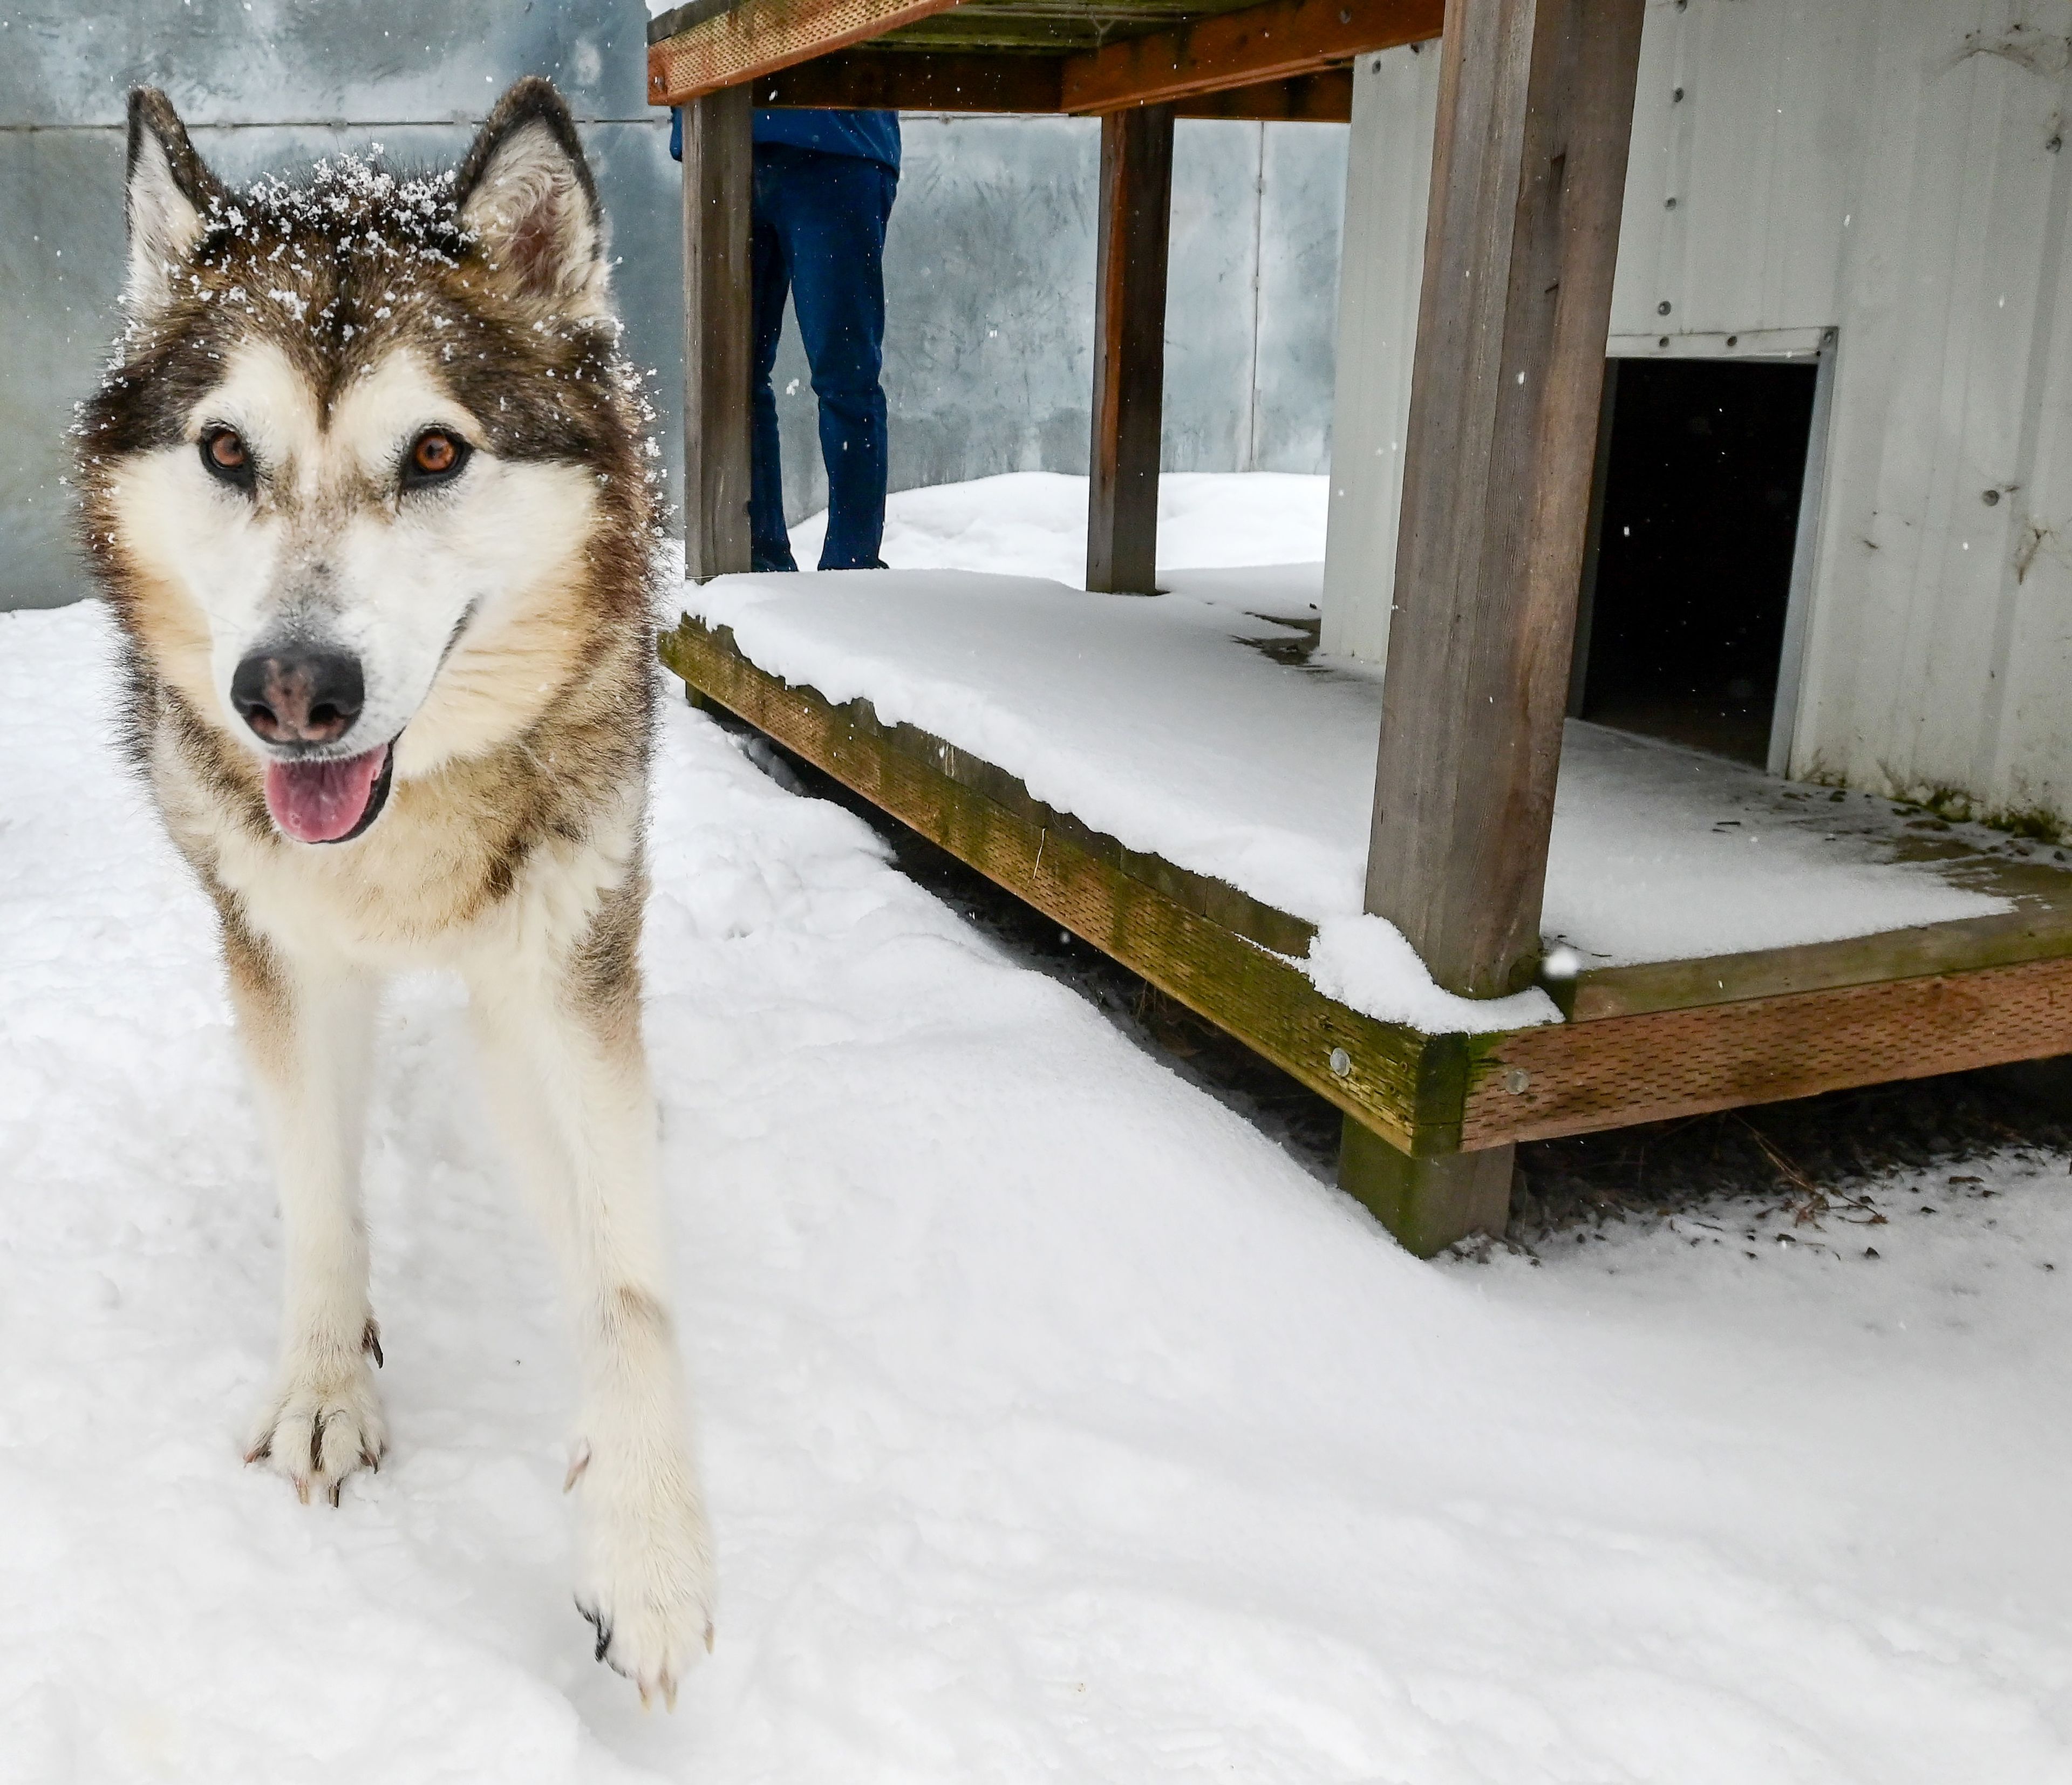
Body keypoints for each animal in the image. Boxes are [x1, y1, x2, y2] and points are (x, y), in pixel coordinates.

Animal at [73, 80, 717, 1700]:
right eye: (225, 452)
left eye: (435, 454)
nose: (294, 694)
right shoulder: (280, 949)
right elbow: (320, 1196)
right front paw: (324, 1382)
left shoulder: (559, 961)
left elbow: (627, 1278)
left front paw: (646, 1546)